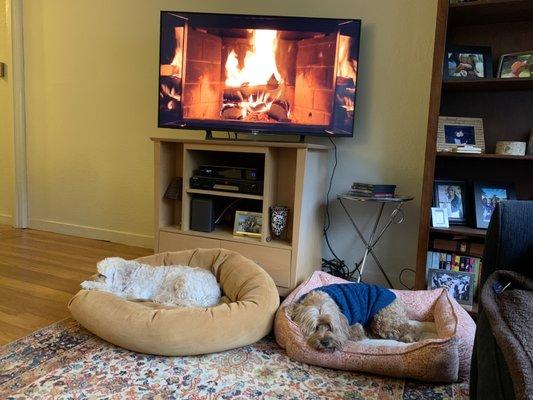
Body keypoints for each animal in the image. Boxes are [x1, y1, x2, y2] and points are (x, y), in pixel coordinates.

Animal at [79, 258, 220, 308]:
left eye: (102, 275)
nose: (94, 277)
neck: (131, 274)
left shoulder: (132, 293)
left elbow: (107, 288)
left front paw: (88, 284)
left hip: (183, 282)